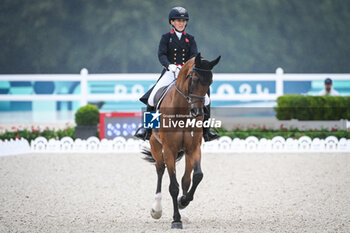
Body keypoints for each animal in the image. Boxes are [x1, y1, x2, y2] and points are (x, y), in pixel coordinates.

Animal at [142, 53, 219, 229]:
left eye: (210, 82)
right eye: (194, 79)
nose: (197, 112)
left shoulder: (194, 148)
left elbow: (196, 177)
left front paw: (183, 202)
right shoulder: (169, 149)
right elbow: (173, 186)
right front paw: (176, 220)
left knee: (186, 179)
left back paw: (184, 211)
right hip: (155, 144)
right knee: (160, 169)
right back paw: (156, 209)